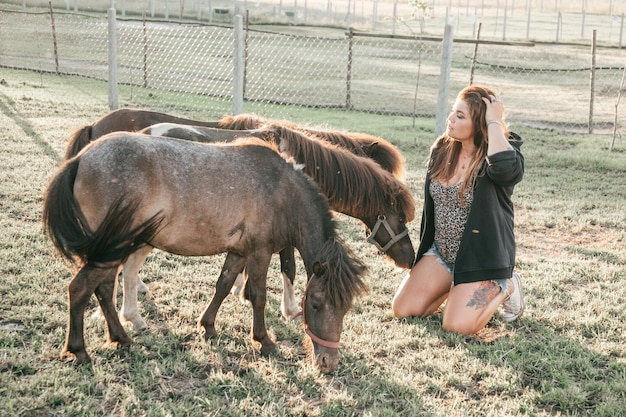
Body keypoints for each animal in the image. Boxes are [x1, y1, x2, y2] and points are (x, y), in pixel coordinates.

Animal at [42, 132, 366, 372]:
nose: (328, 363)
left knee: (103, 290)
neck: (282, 191)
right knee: (79, 289)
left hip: (111, 253)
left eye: (345, 309)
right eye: (316, 305)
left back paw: (120, 337)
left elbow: (223, 285)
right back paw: (79, 350)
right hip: (110, 251)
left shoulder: (239, 252)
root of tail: (80, 159)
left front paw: (207, 326)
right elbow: (258, 296)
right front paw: (264, 341)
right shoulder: (259, 252)